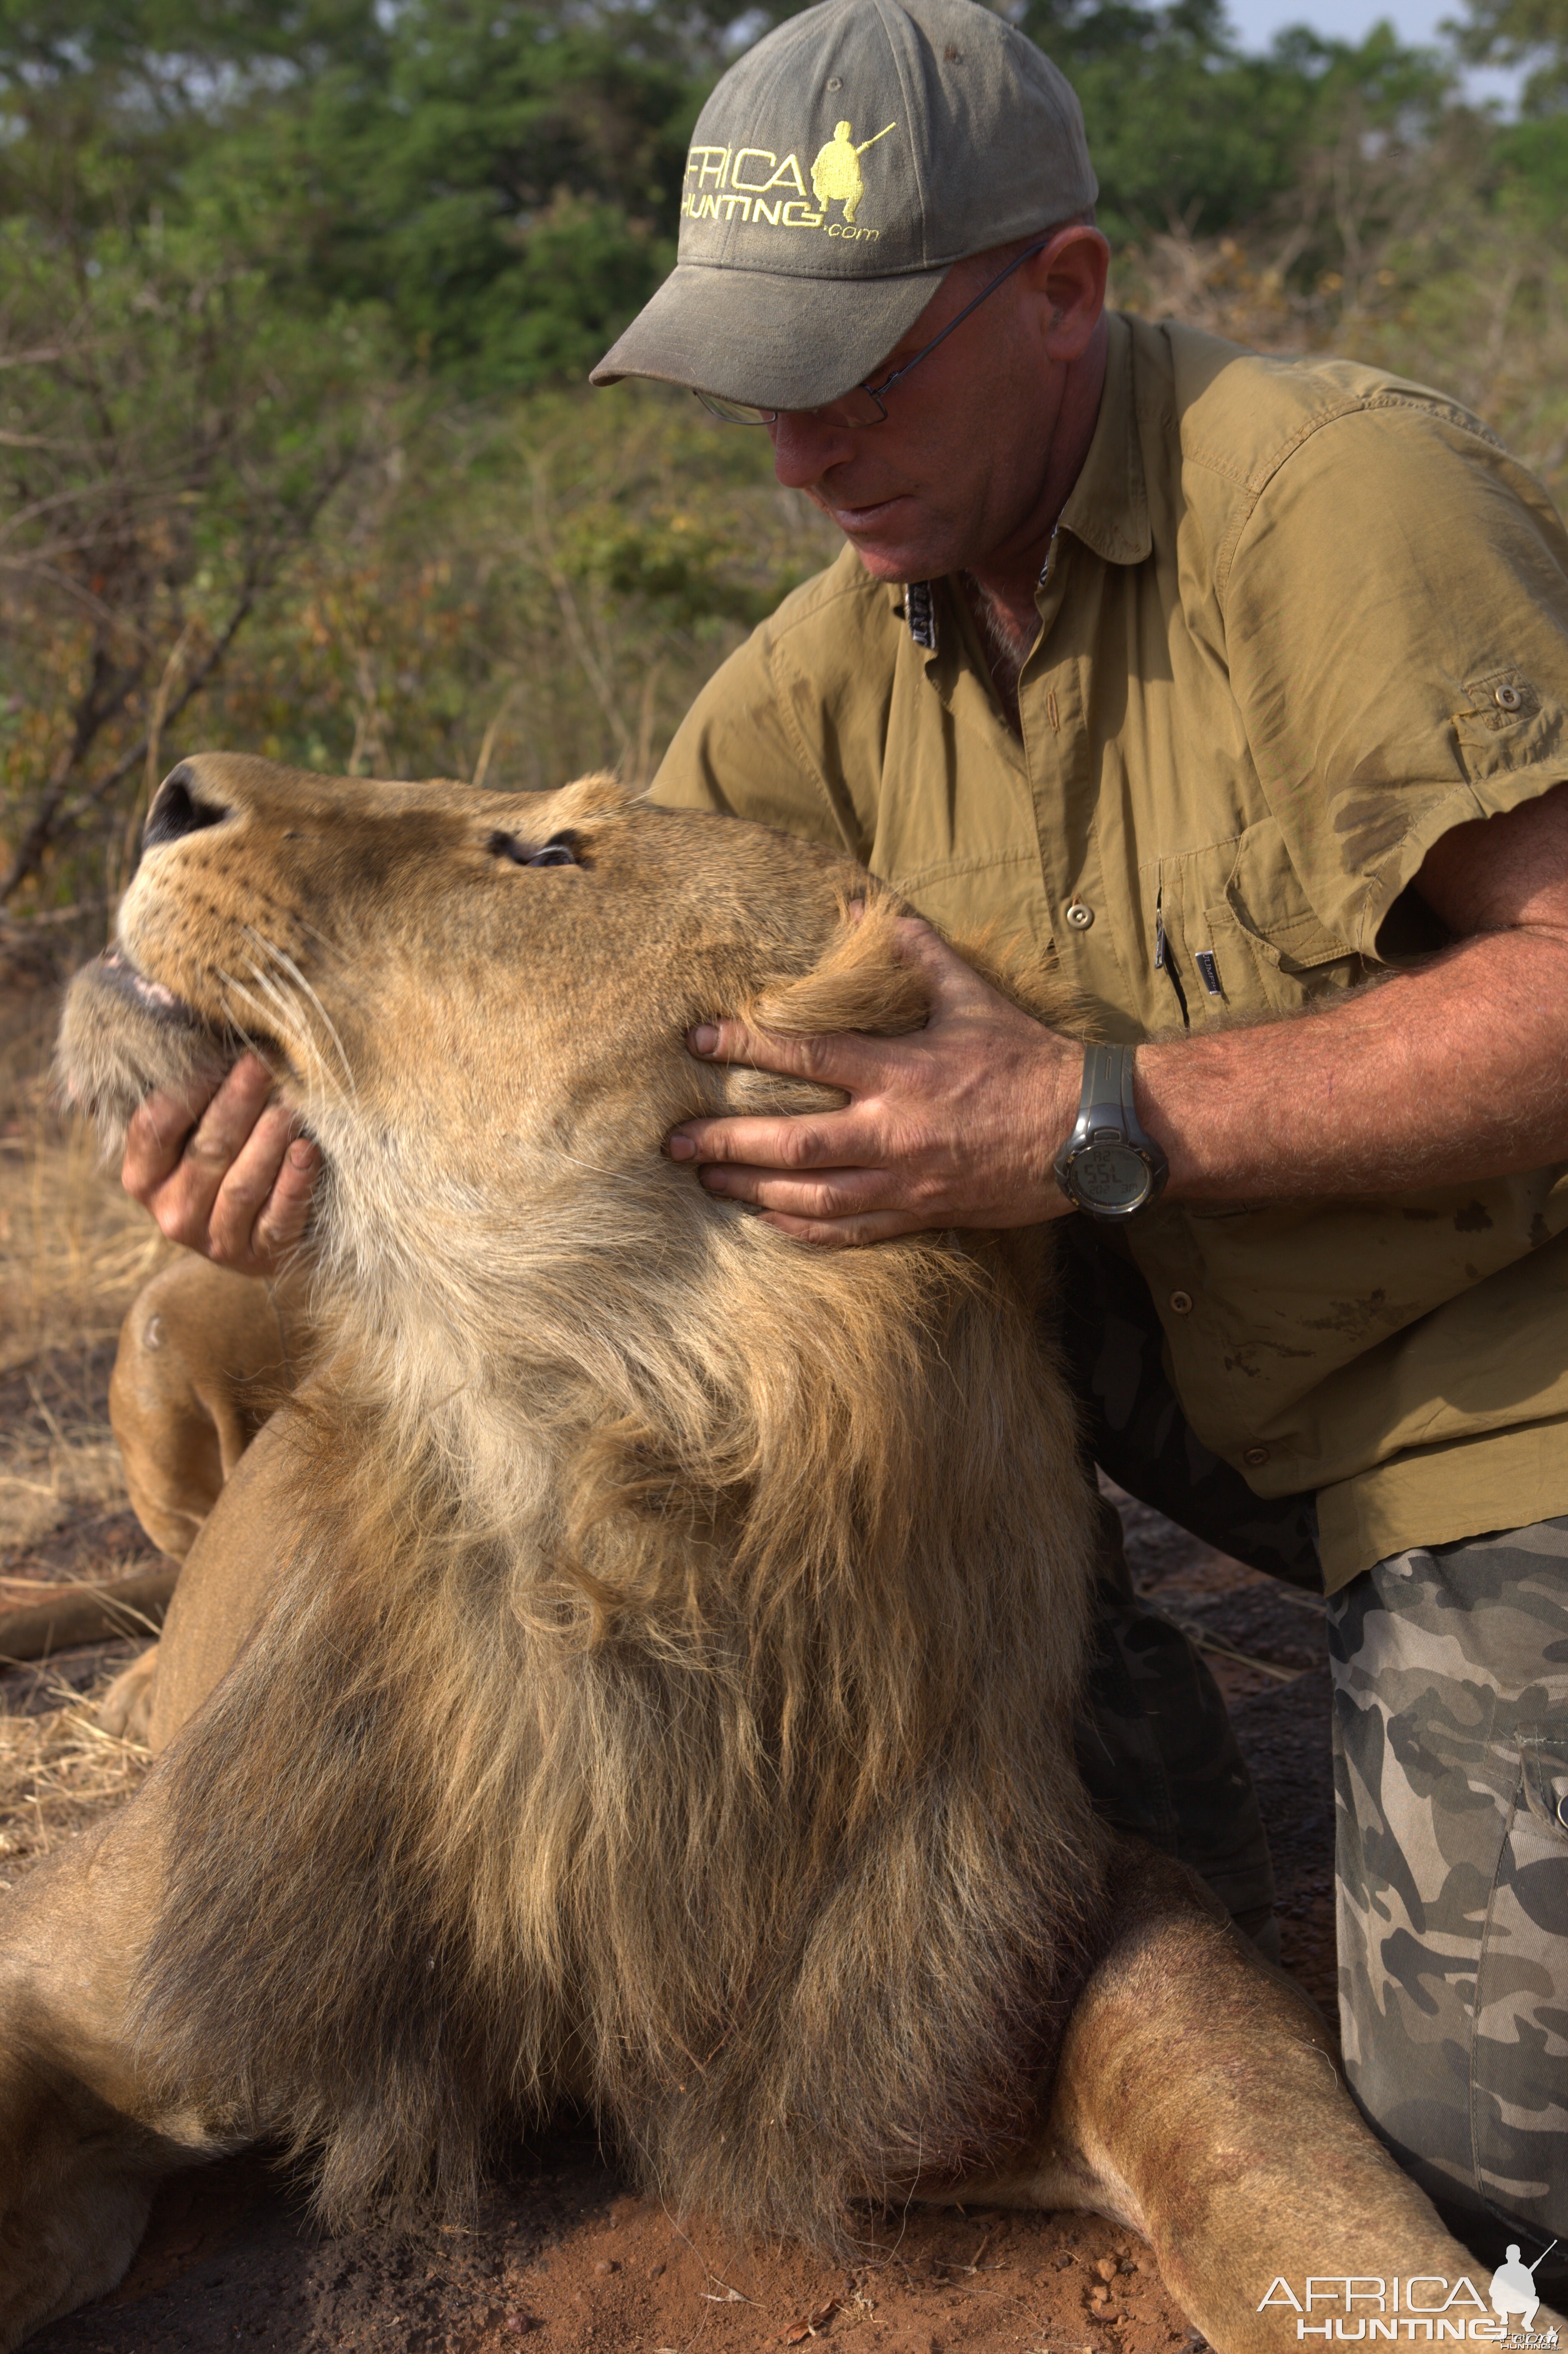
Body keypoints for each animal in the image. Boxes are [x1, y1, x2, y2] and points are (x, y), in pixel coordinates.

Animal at [0, 753, 1507, 2354]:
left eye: (547, 851)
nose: (173, 790)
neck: (593, 1523)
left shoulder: (987, 1956)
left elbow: (1274, 2161)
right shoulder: (97, 1949)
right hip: (170, 1323)